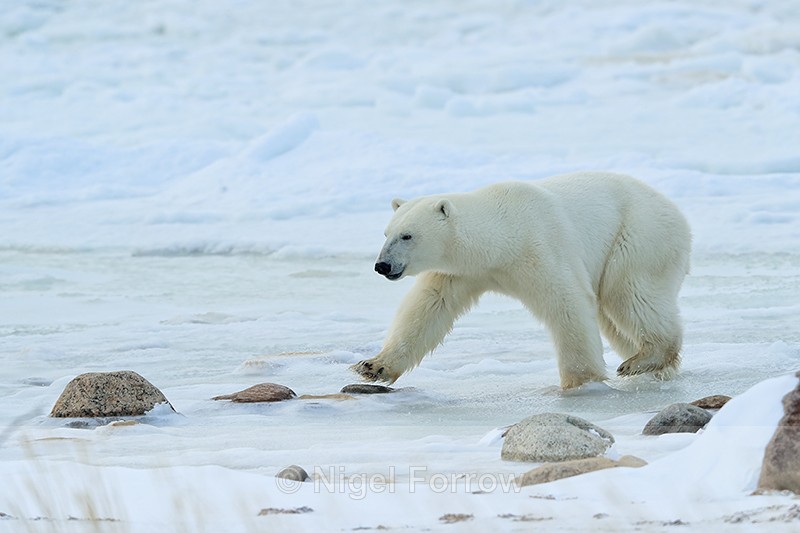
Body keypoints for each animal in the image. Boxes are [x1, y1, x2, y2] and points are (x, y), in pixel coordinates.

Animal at [352, 172, 692, 389]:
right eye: (386, 233)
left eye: (407, 235)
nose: (382, 265)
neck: (501, 234)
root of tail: (676, 212)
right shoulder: (461, 272)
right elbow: (427, 308)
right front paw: (373, 366)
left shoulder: (539, 246)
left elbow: (566, 302)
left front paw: (580, 381)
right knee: (614, 316)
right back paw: (655, 365)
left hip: (637, 235)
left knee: (629, 293)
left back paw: (643, 359)